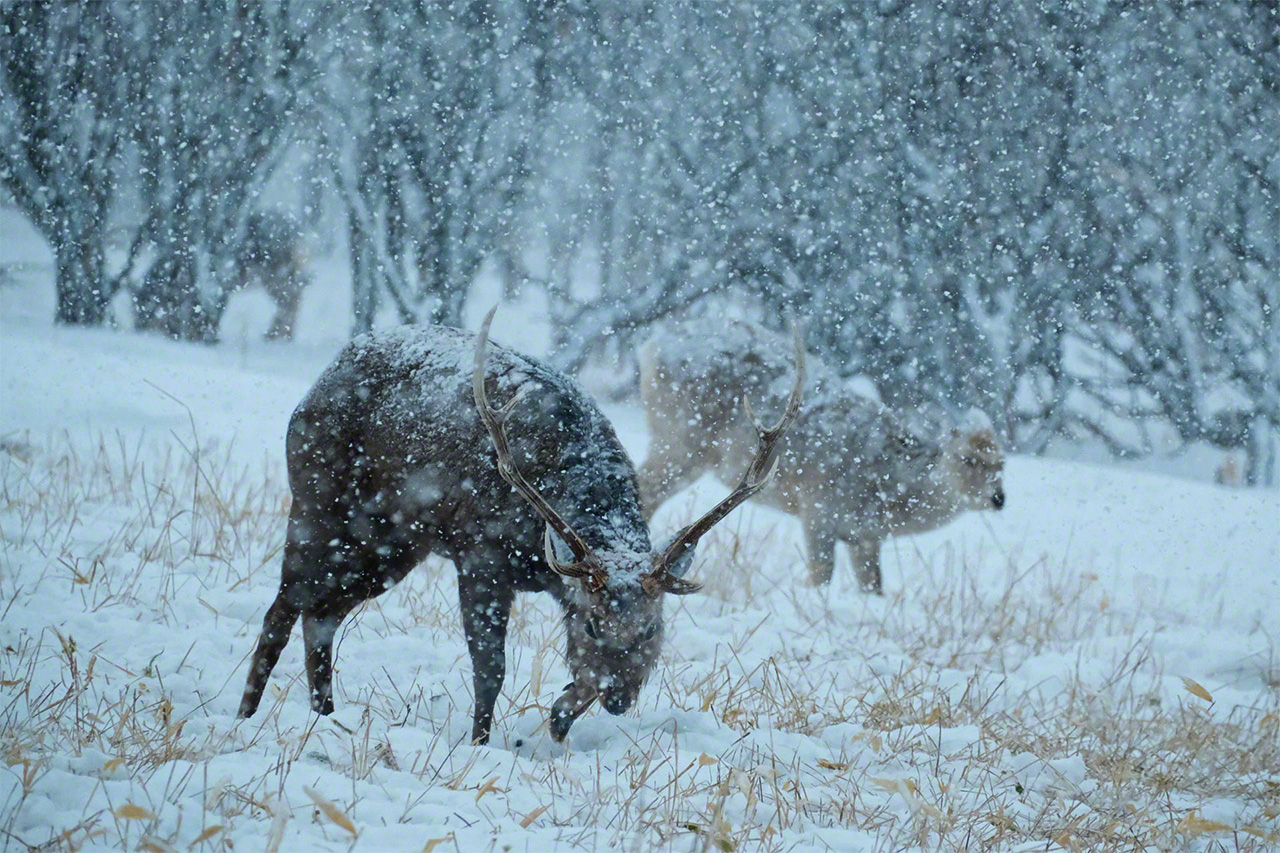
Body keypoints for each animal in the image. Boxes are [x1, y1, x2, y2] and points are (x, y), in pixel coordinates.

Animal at [237, 308, 804, 744]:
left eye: (651, 629)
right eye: (596, 624)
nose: (621, 699)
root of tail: (333, 364)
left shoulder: (563, 581)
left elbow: (575, 676)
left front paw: (558, 718)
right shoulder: (481, 555)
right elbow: (490, 669)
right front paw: (480, 744)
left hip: (393, 541)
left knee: (323, 612)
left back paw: (326, 718)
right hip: (317, 495)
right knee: (284, 605)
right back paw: (246, 717)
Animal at [637, 317, 1004, 594]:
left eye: (1002, 462)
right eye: (967, 459)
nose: (998, 498)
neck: (883, 488)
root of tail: (651, 345)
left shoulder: (865, 537)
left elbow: (874, 587)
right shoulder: (818, 510)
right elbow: (821, 578)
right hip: (679, 440)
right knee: (646, 487)